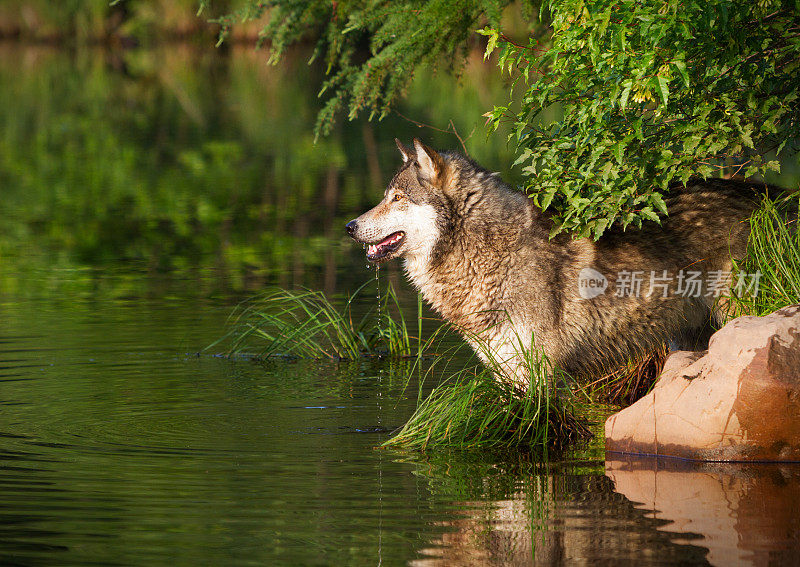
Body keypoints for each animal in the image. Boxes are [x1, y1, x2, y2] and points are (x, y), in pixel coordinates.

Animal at [346, 138, 772, 386]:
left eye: (398, 199)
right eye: (386, 197)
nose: (350, 226)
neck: (490, 250)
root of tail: (770, 195)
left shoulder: (539, 376)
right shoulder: (507, 374)